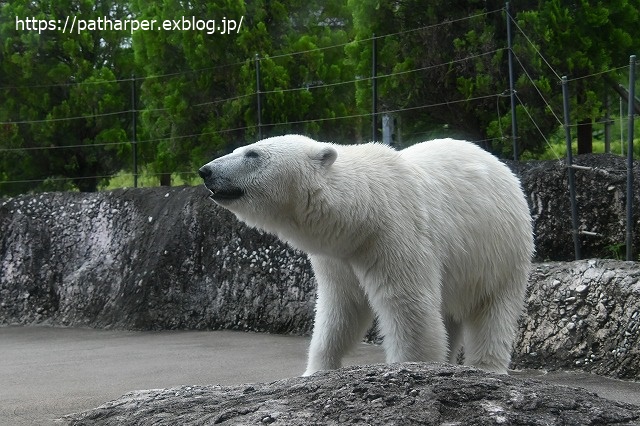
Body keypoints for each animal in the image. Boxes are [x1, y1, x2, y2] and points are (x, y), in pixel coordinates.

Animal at [198, 135, 532, 374]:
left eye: (252, 154)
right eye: (240, 148)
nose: (206, 171)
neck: (363, 211)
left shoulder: (394, 235)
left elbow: (408, 305)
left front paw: (412, 367)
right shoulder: (337, 256)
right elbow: (340, 309)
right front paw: (316, 370)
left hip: (500, 251)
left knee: (493, 311)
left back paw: (486, 368)